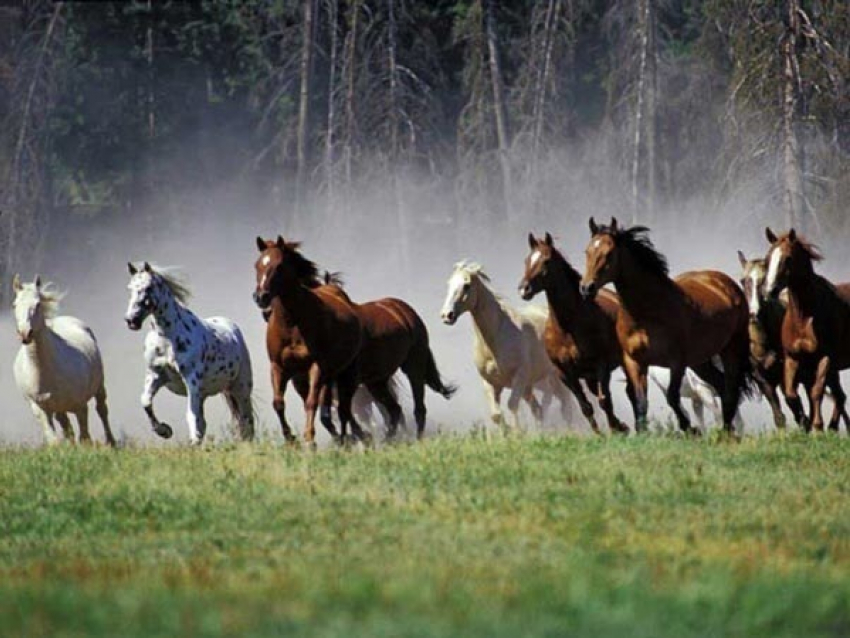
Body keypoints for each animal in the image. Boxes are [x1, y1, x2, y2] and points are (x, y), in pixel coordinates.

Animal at [10, 278, 116, 448]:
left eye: (38, 304)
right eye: (14, 305)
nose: (25, 333)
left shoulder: (80, 405)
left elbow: (85, 437)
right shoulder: (40, 408)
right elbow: (54, 440)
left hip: (99, 387)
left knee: (102, 410)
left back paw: (111, 442)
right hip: (59, 408)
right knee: (66, 425)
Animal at [440, 260, 572, 436]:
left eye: (466, 285)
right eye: (449, 283)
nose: (446, 315)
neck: (496, 341)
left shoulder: (519, 377)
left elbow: (512, 405)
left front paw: (517, 432)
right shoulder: (490, 383)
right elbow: (496, 414)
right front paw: (508, 432)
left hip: (554, 377)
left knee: (565, 404)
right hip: (532, 385)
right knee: (540, 409)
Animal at [516, 232, 628, 438]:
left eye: (546, 261)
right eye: (527, 260)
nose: (524, 289)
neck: (568, 329)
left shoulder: (601, 366)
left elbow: (604, 401)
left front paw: (616, 430)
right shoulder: (566, 374)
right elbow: (586, 407)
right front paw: (601, 434)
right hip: (588, 377)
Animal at [576, 219, 748, 436]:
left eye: (609, 253)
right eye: (587, 251)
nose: (586, 288)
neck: (646, 313)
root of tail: (724, 282)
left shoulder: (676, 362)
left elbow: (673, 398)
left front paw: (690, 430)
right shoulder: (635, 361)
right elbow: (641, 402)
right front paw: (642, 433)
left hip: (731, 348)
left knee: (730, 389)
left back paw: (727, 431)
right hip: (700, 361)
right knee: (721, 386)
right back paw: (728, 433)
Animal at [760, 230, 848, 436]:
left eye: (788, 258)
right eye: (767, 259)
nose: (769, 291)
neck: (804, 318)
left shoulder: (825, 358)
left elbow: (816, 392)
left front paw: (817, 426)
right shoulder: (793, 358)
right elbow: (791, 395)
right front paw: (806, 423)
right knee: (840, 396)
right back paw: (832, 427)